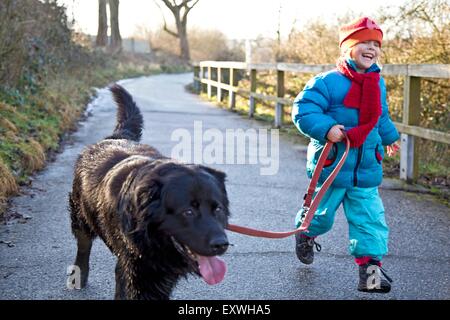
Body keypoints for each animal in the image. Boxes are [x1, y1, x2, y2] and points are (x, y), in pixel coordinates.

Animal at [68, 84, 230, 300]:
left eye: (218, 209)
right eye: (188, 211)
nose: (221, 244)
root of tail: (118, 137)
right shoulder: (135, 270)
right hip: (80, 214)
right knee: (83, 244)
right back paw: (78, 275)